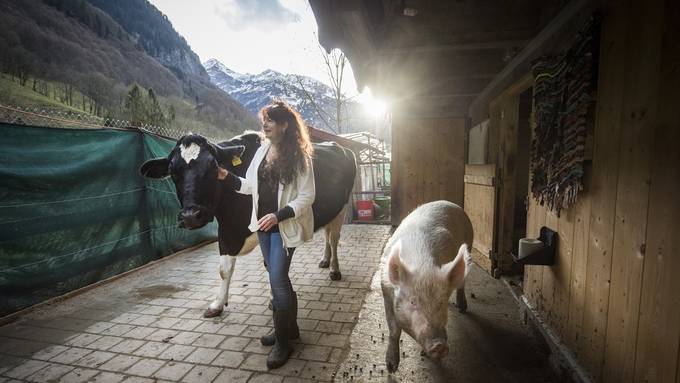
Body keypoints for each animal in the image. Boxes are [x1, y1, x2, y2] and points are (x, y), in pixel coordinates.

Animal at [141, 132, 358, 318]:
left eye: (213, 166)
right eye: (172, 172)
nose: (191, 216)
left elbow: (271, 266)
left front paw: (274, 300)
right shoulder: (225, 233)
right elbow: (224, 269)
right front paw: (217, 304)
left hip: (342, 205)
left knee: (333, 237)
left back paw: (334, 270)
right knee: (327, 234)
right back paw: (325, 260)